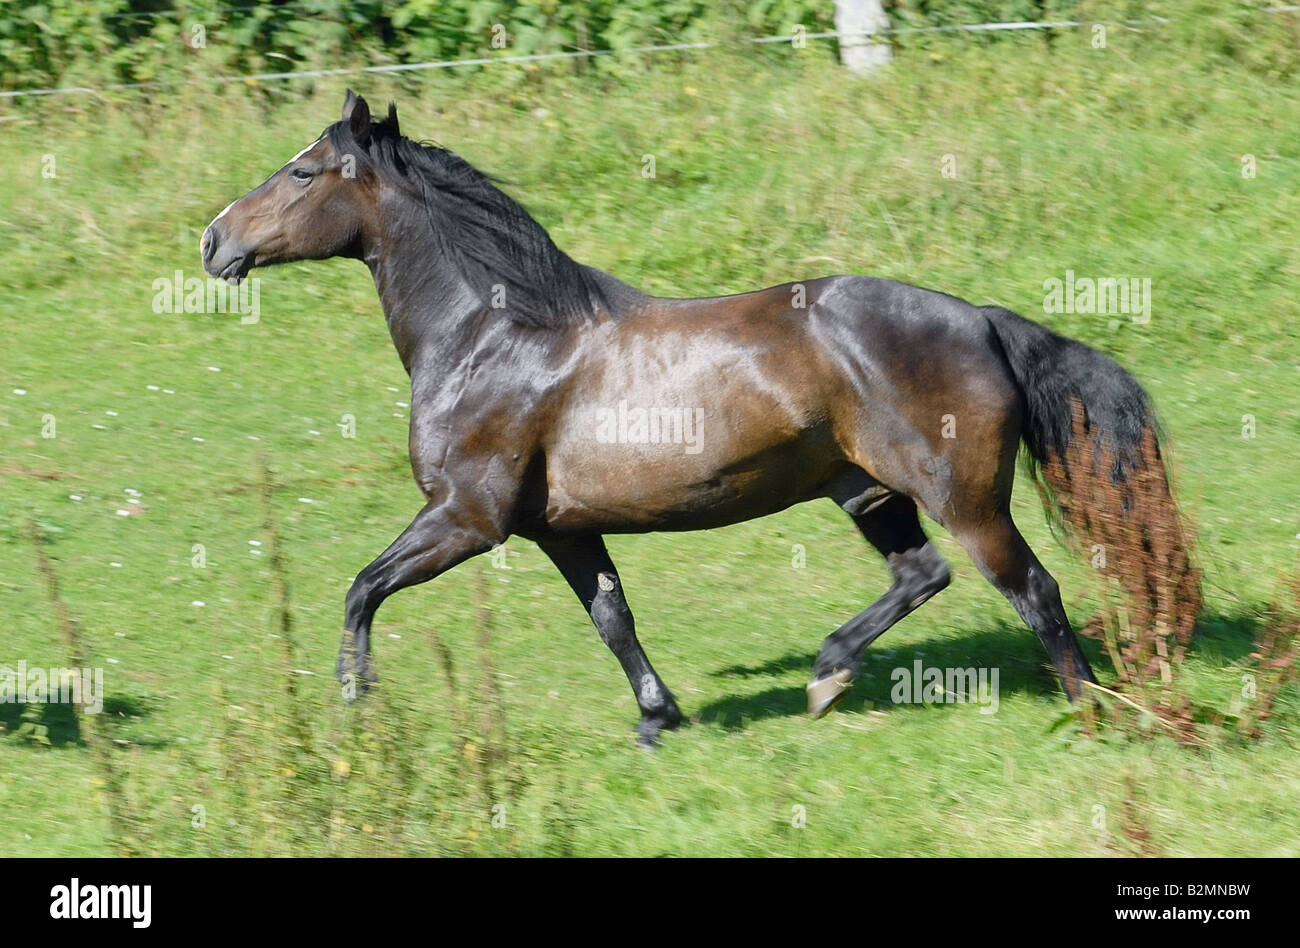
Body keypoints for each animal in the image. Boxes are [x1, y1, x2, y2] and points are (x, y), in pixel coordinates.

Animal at [201, 91, 1197, 746]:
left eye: (301, 172)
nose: (214, 241)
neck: (496, 337)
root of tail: (983, 320)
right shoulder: (561, 529)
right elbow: (614, 619)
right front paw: (658, 719)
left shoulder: (467, 519)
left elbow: (362, 587)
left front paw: (354, 701)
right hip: (867, 493)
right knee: (922, 576)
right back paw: (828, 675)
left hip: (966, 501)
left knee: (1034, 591)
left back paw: (1090, 712)